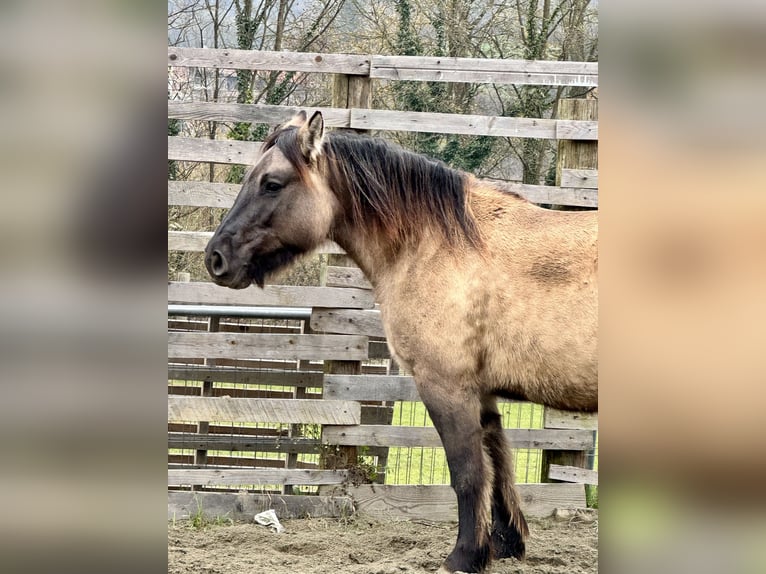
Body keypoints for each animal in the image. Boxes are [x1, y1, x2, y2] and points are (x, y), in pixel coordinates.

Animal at [206, 110, 600, 572]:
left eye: (271, 183)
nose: (216, 258)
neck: (437, 245)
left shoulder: (446, 387)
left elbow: (468, 474)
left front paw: (464, 556)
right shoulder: (482, 393)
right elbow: (498, 465)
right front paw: (503, 545)